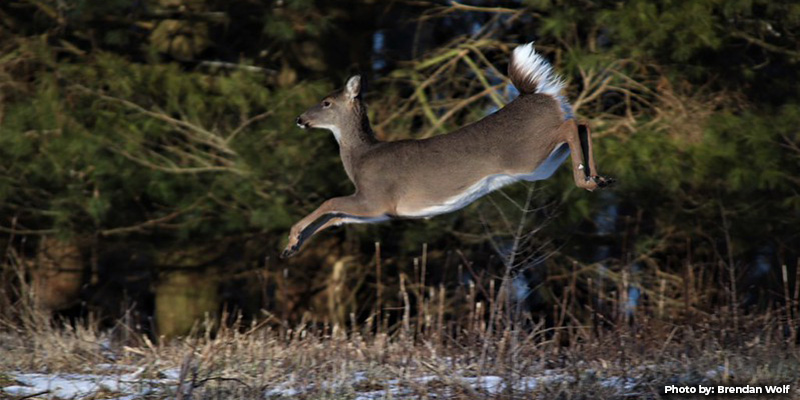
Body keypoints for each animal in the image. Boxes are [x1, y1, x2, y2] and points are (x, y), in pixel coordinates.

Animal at [281, 42, 613, 258]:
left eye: (326, 102)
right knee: (581, 125)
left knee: (572, 125)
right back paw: (598, 179)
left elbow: (330, 203)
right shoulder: (383, 212)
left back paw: (586, 180)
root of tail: (537, 94)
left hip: (527, 155)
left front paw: (292, 238)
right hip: (544, 163)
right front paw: (291, 247)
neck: (361, 158)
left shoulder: (376, 197)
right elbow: (335, 216)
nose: (299, 119)